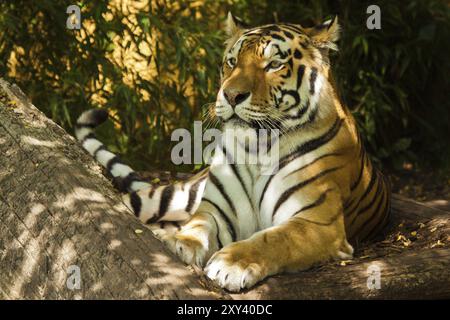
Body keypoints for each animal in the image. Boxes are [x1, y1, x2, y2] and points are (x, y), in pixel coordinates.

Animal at [74, 12, 390, 292]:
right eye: (232, 61)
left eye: (274, 64)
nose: (231, 95)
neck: (259, 147)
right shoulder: (216, 209)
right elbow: (198, 223)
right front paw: (182, 242)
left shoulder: (318, 222)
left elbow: (274, 239)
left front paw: (232, 265)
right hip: (174, 195)